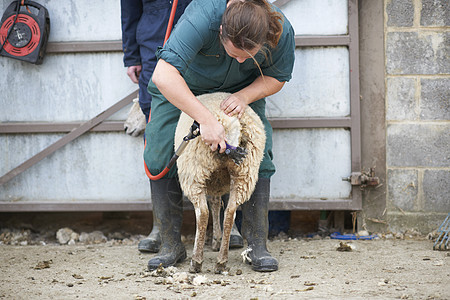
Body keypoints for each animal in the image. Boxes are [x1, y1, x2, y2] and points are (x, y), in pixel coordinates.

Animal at [174, 92, 266, 274]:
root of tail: (230, 125)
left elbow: (211, 206)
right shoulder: (216, 183)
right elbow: (216, 203)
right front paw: (217, 239)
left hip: (194, 171)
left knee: (202, 213)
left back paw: (196, 262)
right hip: (244, 173)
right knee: (230, 213)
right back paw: (221, 261)